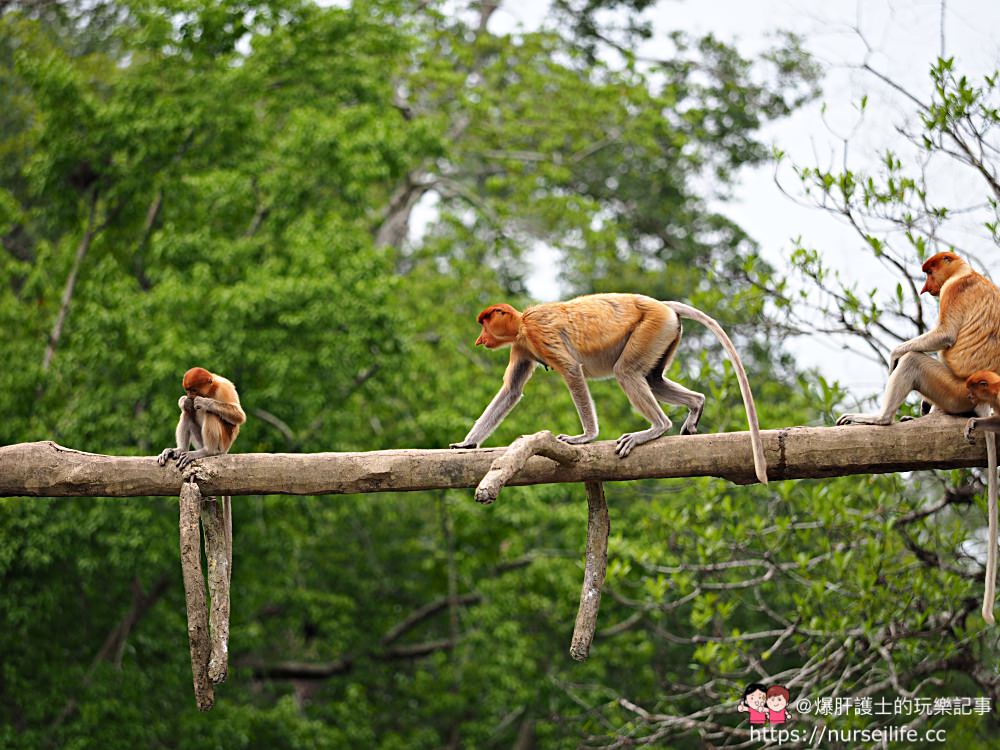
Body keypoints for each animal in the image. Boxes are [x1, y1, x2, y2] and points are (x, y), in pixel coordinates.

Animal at [450, 290, 768, 484]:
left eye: (485, 323)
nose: (479, 339)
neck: (522, 324)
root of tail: (664, 306)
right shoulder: (522, 346)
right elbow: (512, 391)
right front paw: (466, 444)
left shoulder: (540, 333)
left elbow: (572, 371)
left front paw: (584, 437)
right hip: (665, 334)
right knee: (653, 379)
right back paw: (695, 406)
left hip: (653, 328)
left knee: (626, 373)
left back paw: (656, 428)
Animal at [836, 253, 1000, 426]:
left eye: (929, 272)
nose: (925, 288)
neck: (962, 272)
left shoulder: (952, 288)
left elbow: (945, 333)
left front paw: (894, 355)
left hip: (958, 393)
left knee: (912, 360)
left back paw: (881, 418)